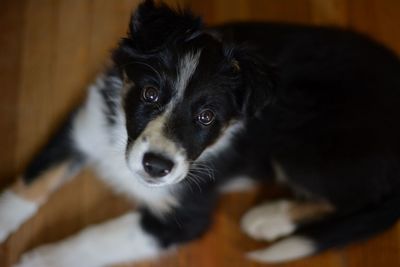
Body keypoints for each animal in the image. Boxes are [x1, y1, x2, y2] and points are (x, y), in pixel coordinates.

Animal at [0, 0, 400, 266]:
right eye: (150, 94)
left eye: (207, 117)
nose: (156, 166)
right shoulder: (86, 126)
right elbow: (32, 181)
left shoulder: (186, 218)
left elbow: (97, 237)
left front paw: (40, 260)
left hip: (302, 150)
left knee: (356, 198)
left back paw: (270, 217)